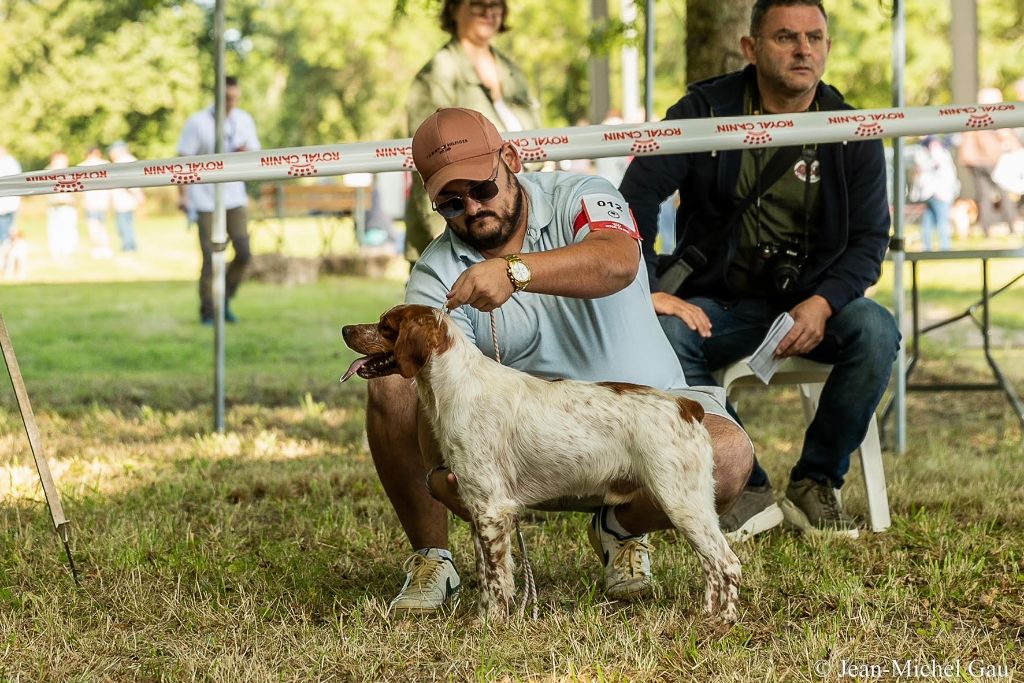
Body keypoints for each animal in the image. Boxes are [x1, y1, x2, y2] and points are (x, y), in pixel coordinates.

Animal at [339, 305, 741, 626]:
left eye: (385, 326)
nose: (345, 330)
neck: (457, 386)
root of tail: (687, 407)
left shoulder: (492, 509)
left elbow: (496, 579)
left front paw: (489, 624)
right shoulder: (478, 507)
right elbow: (492, 576)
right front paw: (487, 617)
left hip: (682, 501)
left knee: (727, 562)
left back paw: (723, 621)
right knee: (711, 566)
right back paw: (706, 613)